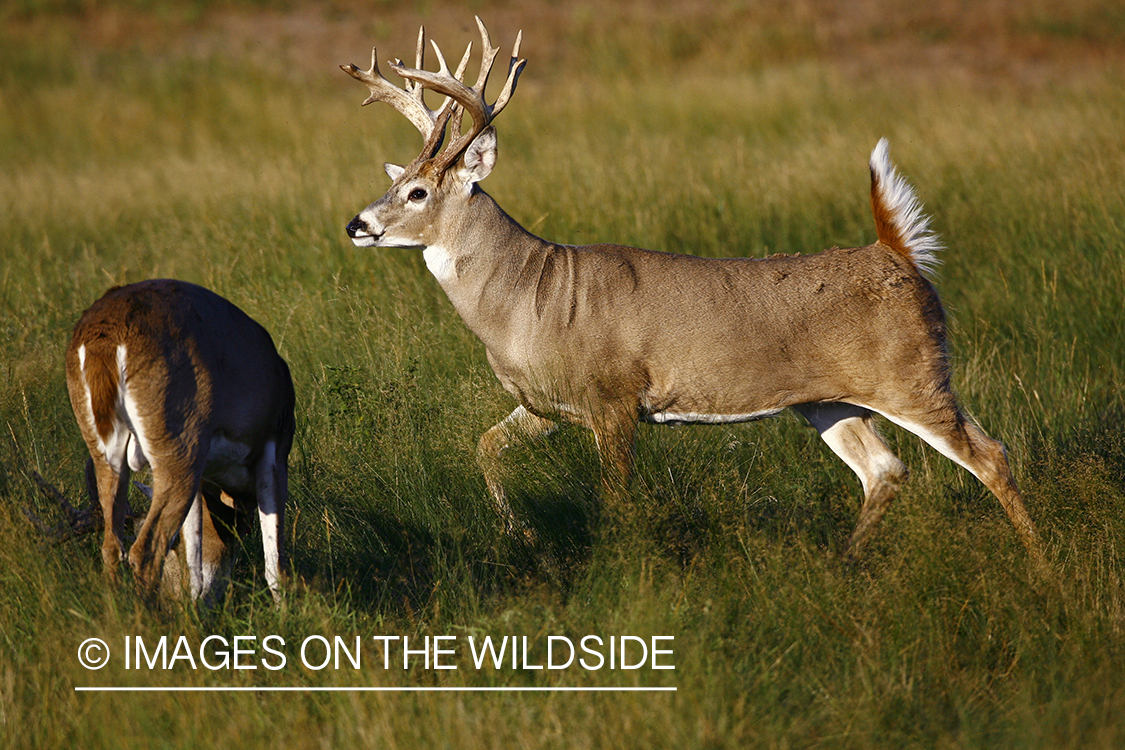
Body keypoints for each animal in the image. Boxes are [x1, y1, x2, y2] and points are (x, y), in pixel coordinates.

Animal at [64, 278, 294, 602]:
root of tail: (104, 339)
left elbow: (195, 570)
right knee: (145, 551)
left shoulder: (201, 474)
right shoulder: (274, 451)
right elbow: (275, 568)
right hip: (179, 451)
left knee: (112, 545)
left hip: (108, 455)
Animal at [337, 17, 1039, 559]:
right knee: (886, 471)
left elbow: (618, 500)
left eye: (416, 192)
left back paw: (1044, 570)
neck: (529, 295)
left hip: (915, 374)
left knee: (992, 455)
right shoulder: (545, 405)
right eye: (393, 182)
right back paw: (843, 565)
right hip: (831, 401)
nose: (357, 224)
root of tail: (896, 253)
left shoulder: (615, 398)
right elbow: (484, 448)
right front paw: (523, 535)